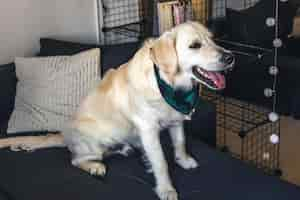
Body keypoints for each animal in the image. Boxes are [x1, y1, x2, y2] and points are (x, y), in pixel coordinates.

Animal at [0, 21, 234, 199]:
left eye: (213, 39)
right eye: (195, 45)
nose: (230, 57)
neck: (167, 83)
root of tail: (65, 135)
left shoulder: (175, 120)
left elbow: (180, 143)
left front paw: (183, 160)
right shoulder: (148, 130)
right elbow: (161, 162)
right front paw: (166, 189)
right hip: (94, 144)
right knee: (76, 159)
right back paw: (94, 166)